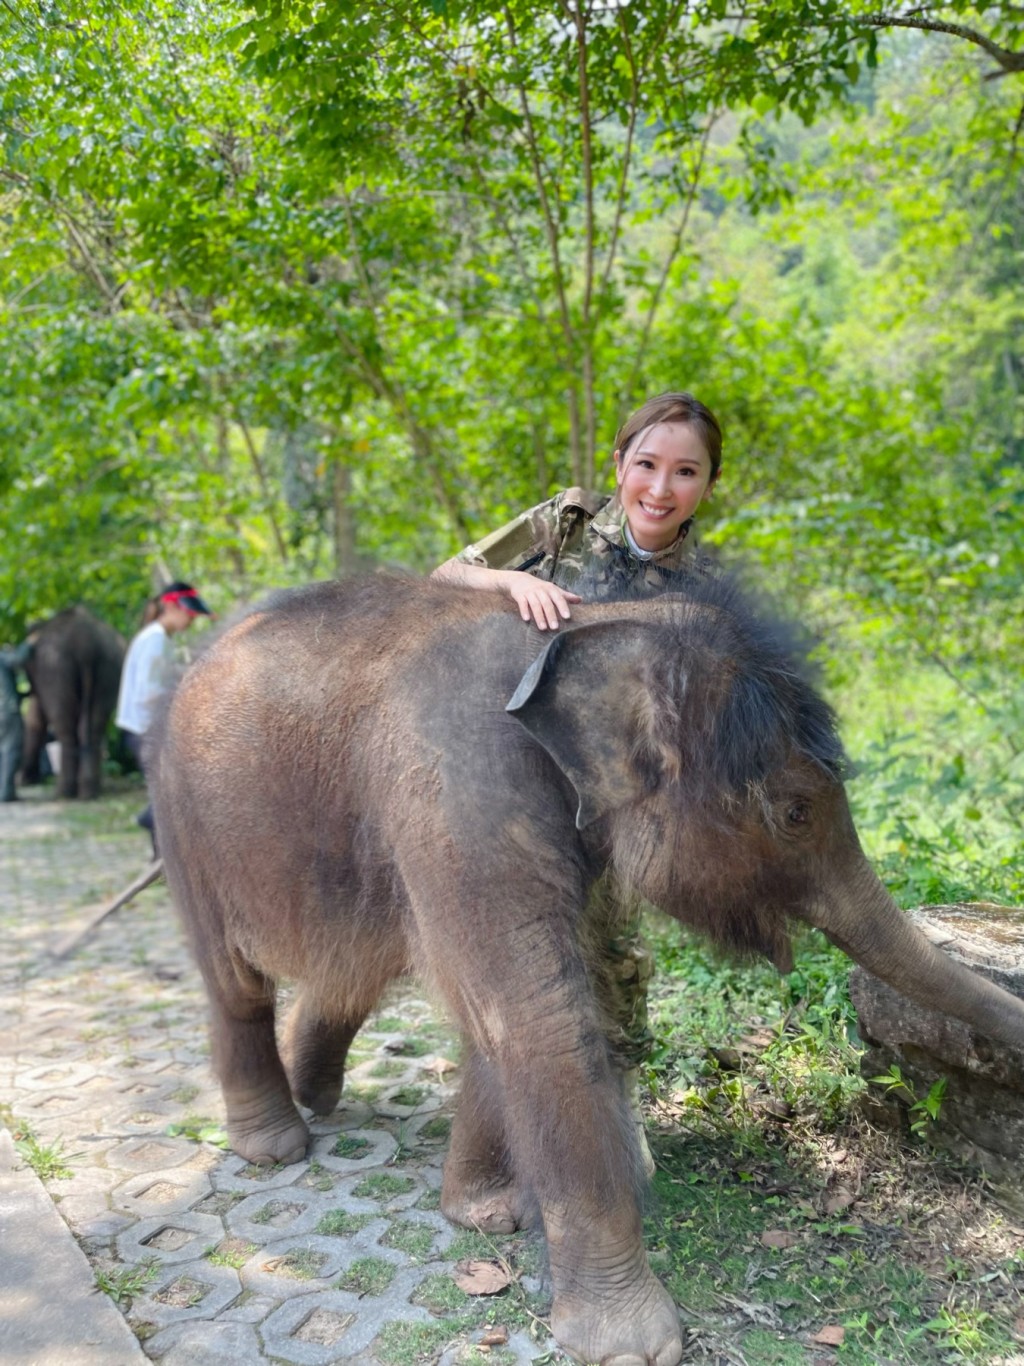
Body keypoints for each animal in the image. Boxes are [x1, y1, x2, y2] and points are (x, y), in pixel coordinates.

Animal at [21, 606, 126, 797]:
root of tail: (86, 643)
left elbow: (35, 720)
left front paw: (25, 781)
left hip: (55, 668)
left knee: (66, 728)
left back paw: (63, 792)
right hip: (109, 668)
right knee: (94, 727)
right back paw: (89, 792)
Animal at [150, 576, 1024, 1366]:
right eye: (795, 812)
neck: (600, 622)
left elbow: (509, 1010)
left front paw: (486, 1215)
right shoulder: (460, 788)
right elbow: (536, 1014)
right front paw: (631, 1345)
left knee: (352, 967)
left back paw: (318, 1095)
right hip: (183, 823)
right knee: (236, 981)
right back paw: (275, 1145)